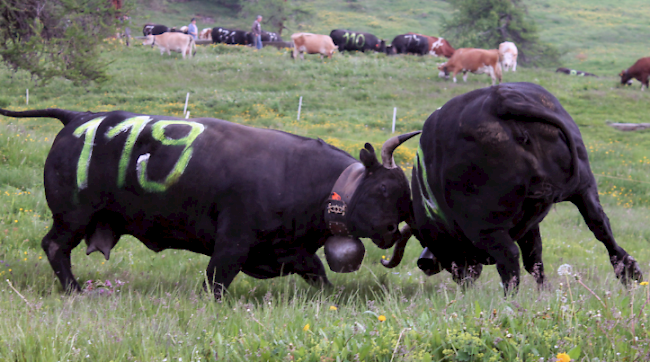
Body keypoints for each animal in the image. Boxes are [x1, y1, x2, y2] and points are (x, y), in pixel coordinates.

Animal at [0, 107, 420, 296]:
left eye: (405, 198)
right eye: (383, 189)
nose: (391, 231)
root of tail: (80, 116)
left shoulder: (292, 251)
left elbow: (319, 275)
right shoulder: (233, 242)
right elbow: (216, 280)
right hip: (72, 218)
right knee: (54, 246)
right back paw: (74, 289)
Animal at [382, 82, 640, 294]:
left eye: (424, 238)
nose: (425, 262)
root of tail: (501, 102)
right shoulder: (531, 224)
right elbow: (535, 259)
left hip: (486, 227)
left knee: (509, 259)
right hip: (584, 189)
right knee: (601, 228)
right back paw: (630, 274)